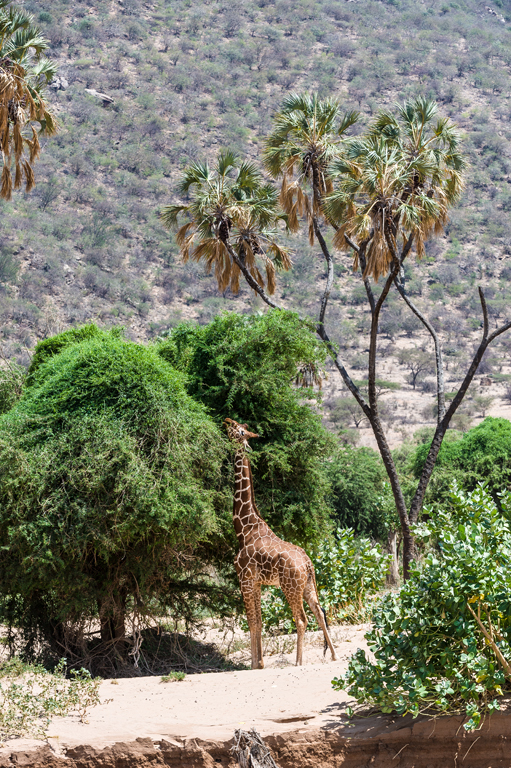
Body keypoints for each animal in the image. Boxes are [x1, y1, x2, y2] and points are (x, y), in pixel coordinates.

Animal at [225, 416, 338, 668]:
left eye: (239, 430)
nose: (226, 420)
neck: (244, 528)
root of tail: (308, 563)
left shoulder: (245, 580)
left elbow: (252, 622)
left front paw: (255, 665)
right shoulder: (257, 583)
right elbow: (258, 622)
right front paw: (259, 663)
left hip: (290, 586)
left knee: (302, 619)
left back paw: (298, 662)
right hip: (307, 585)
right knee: (320, 613)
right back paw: (335, 655)